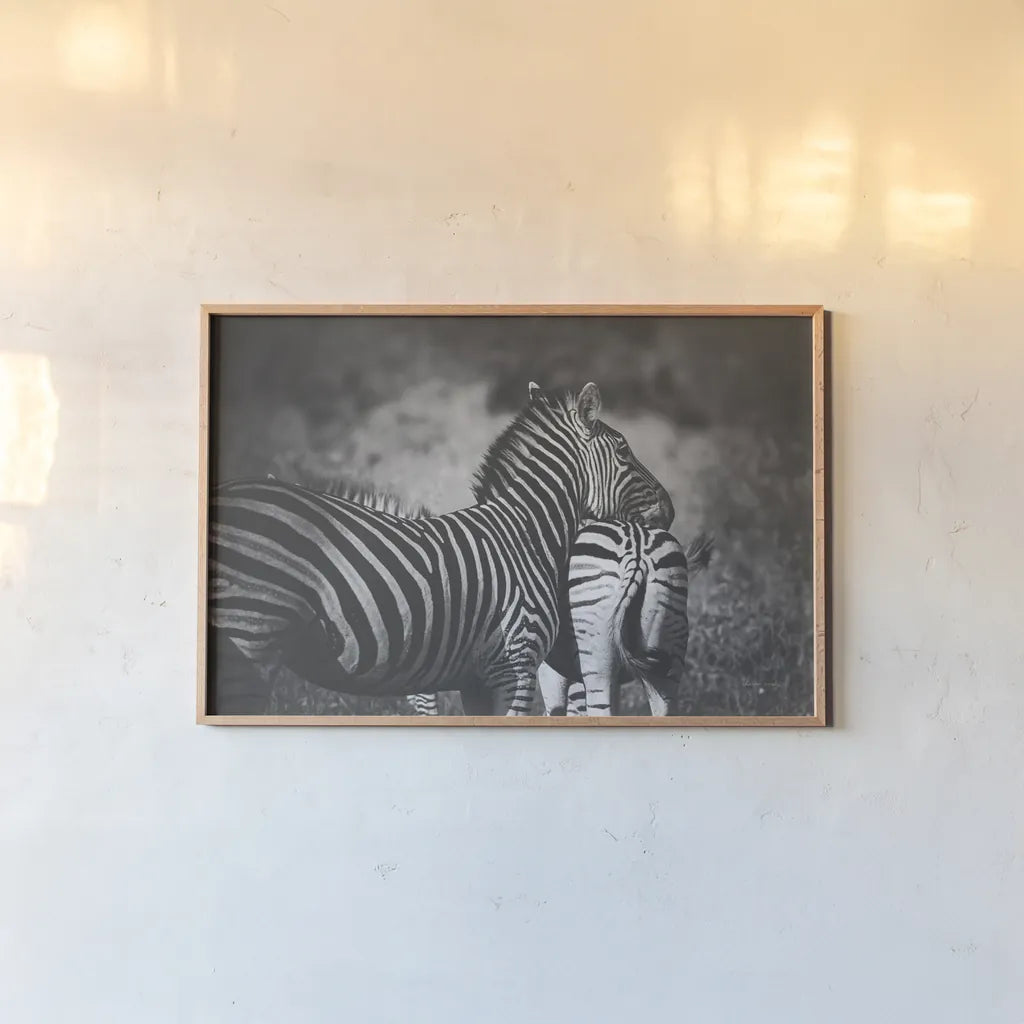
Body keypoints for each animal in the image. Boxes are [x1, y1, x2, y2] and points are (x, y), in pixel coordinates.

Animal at [208, 382, 674, 715]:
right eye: (625, 453)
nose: (670, 509)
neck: (527, 533)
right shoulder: (515, 665)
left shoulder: (475, 679)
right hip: (250, 637)